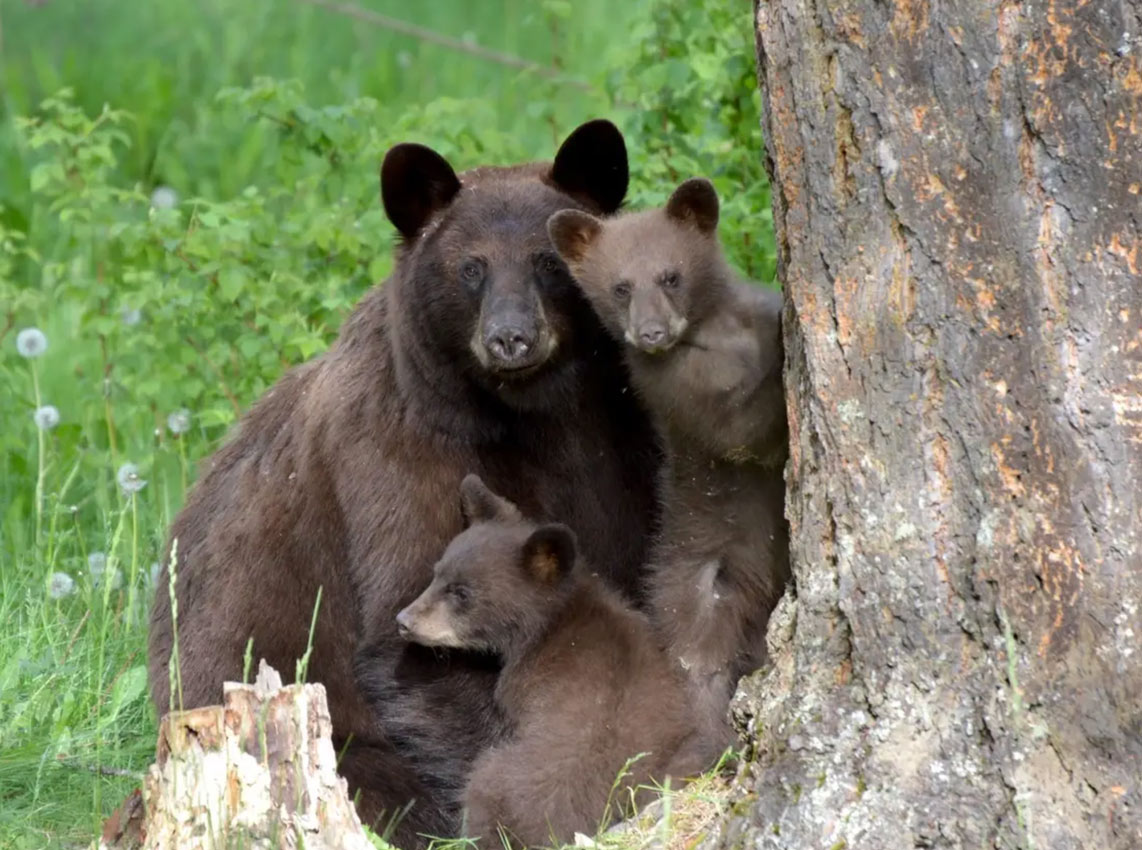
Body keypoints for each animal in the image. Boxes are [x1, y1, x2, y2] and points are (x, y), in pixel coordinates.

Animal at [148, 119, 662, 845]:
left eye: (547, 261)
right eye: (471, 267)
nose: (511, 338)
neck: (537, 415)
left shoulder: (623, 445)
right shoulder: (402, 457)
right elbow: (420, 632)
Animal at [397, 477, 708, 850]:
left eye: (461, 593)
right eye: (437, 574)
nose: (404, 620)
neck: (551, 620)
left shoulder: (522, 680)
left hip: (492, 777)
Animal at [548, 177, 790, 749]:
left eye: (671, 275)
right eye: (620, 287)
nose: (652, 334)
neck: (717, 340)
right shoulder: (681, 395)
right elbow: (745, 433)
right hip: (697, 588)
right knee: (698, 664)